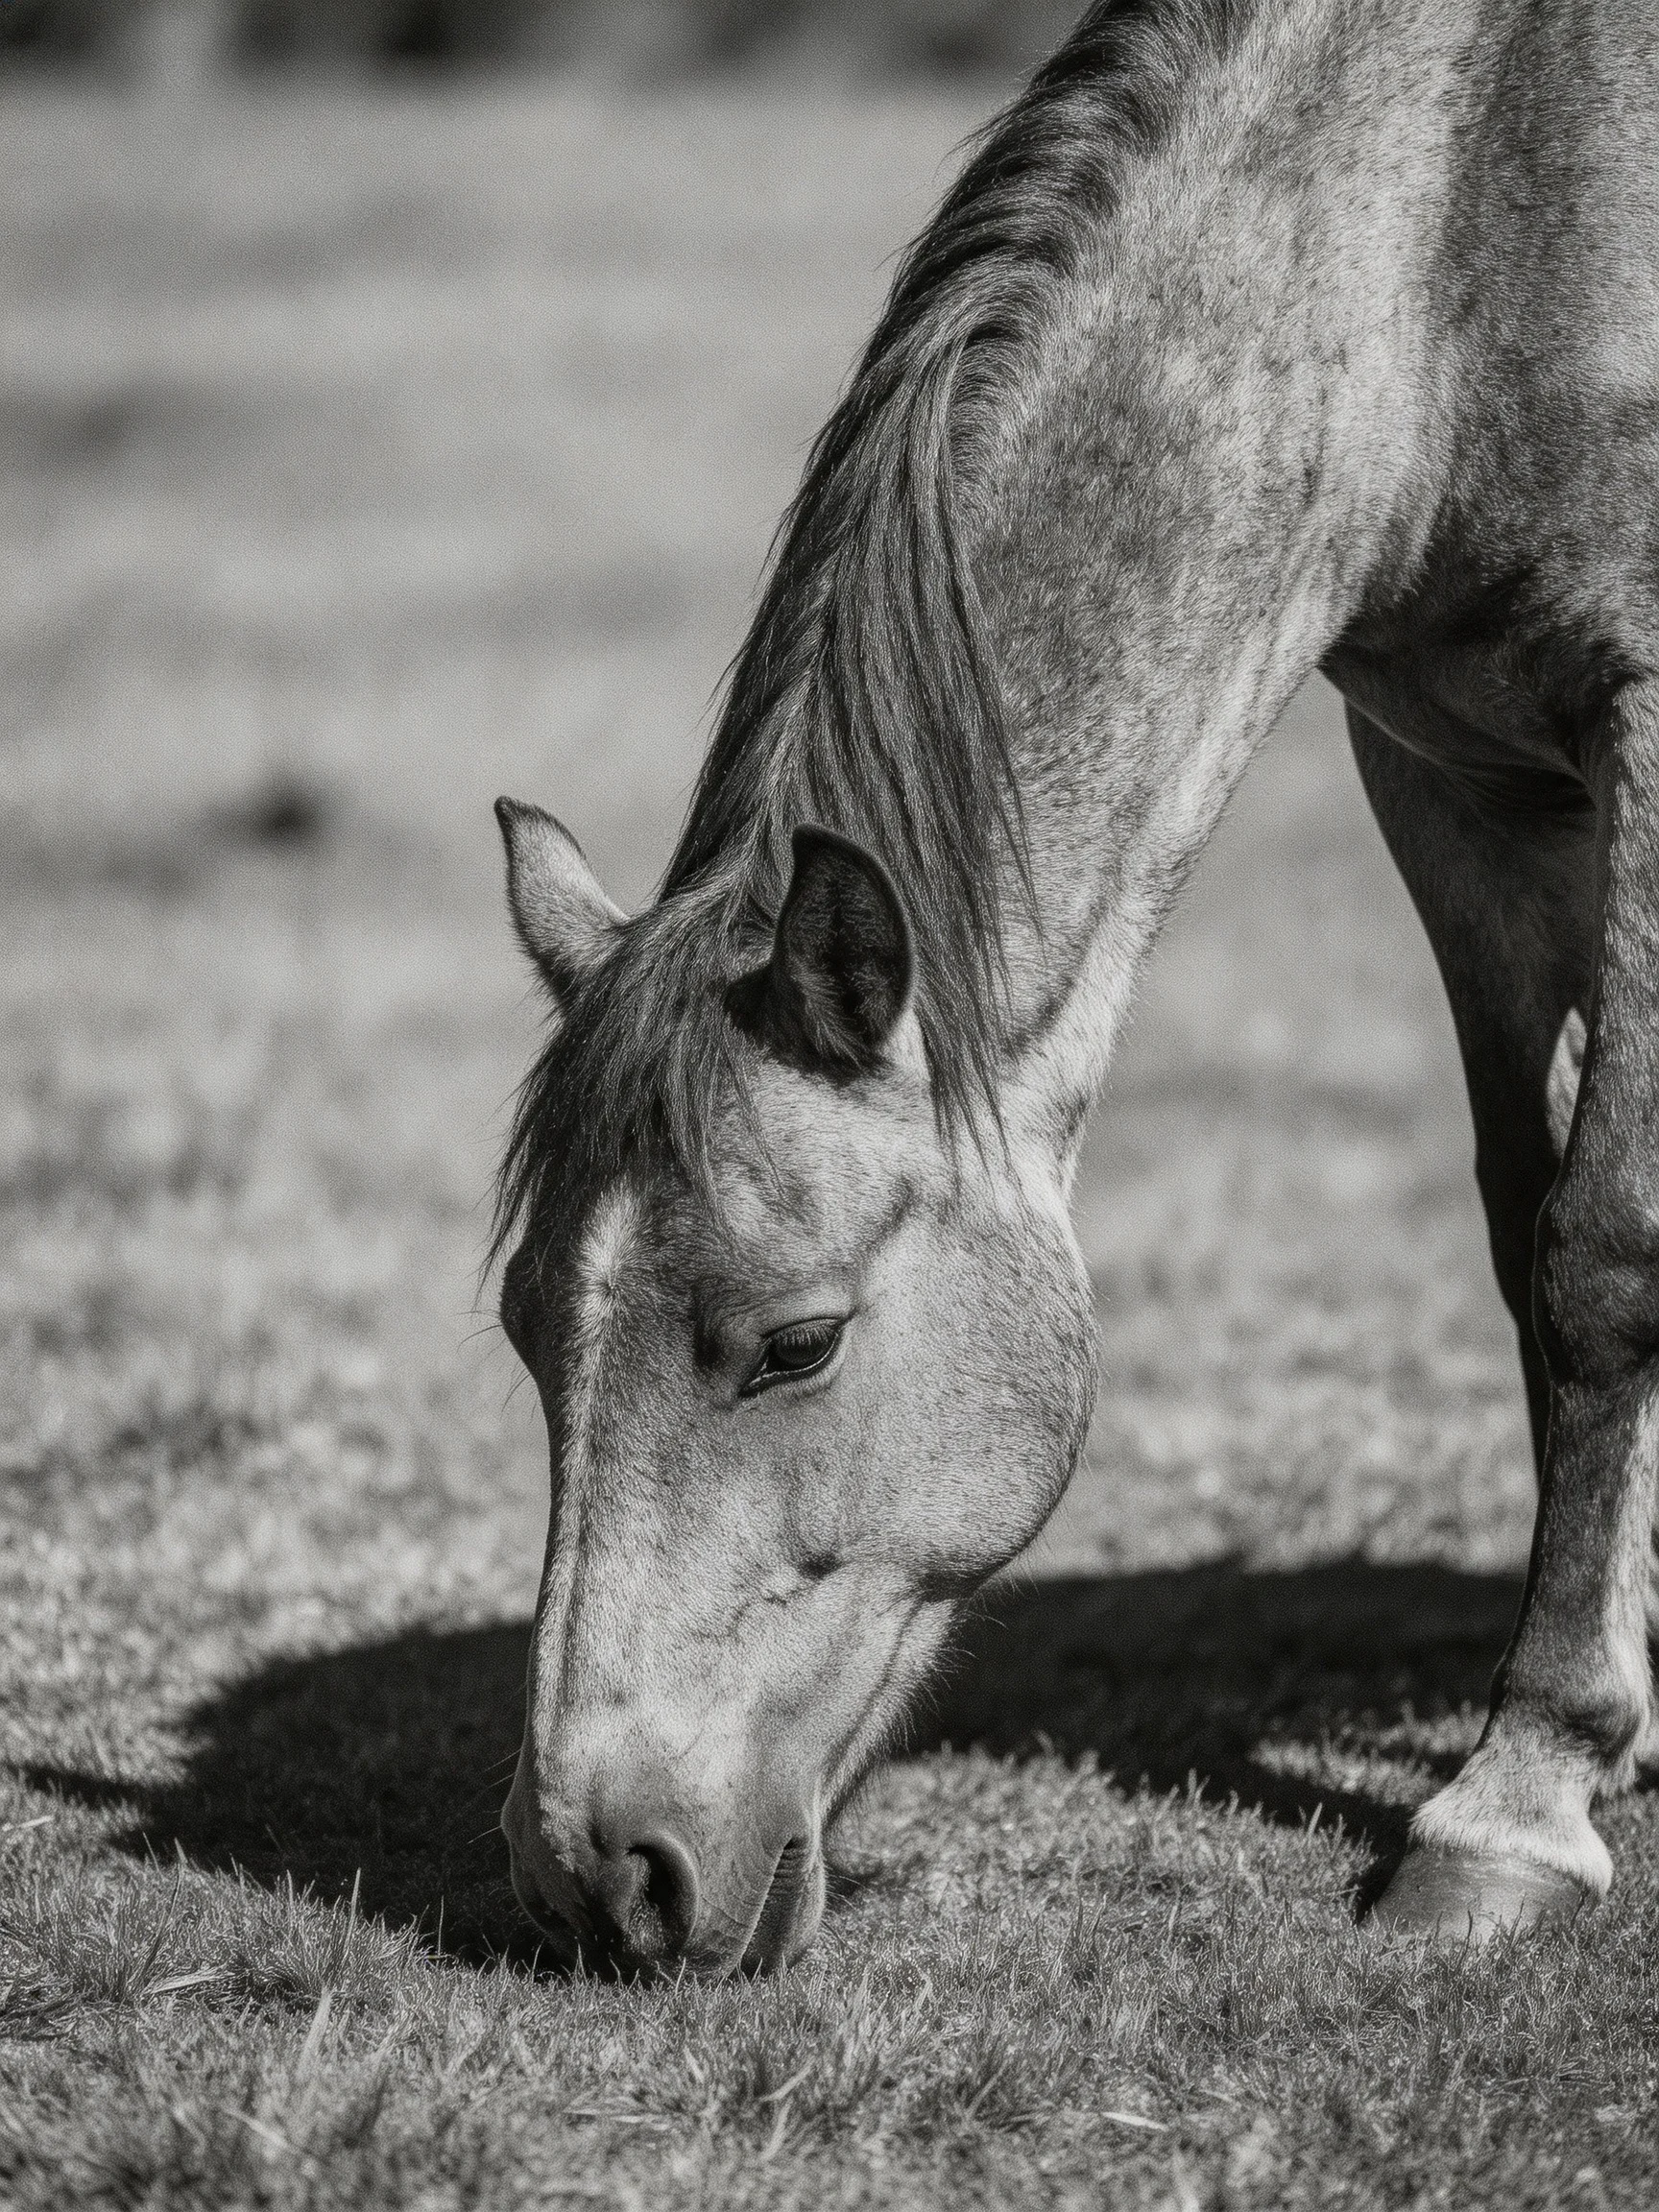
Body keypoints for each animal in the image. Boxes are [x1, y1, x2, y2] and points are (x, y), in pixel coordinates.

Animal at [491, 0, 1659, 1972]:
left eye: (796, 1342)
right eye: (520, 1330)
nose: (594, 1870)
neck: (1454, 211)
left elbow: (1607, 1251)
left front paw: (1512, 1803)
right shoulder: (1456, 784)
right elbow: (1530, 1236)